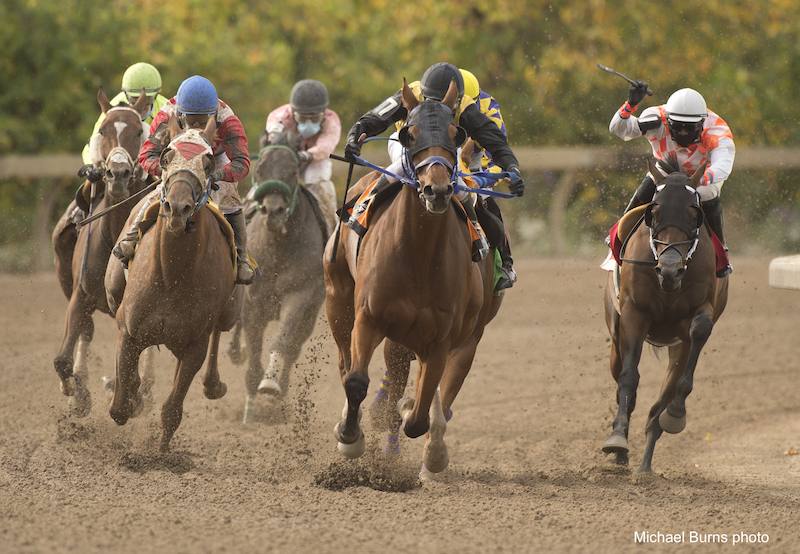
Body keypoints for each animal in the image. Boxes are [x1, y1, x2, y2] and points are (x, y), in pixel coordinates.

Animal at [52, 88, 152, 412]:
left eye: (138, 131)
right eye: (102, 130)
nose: (117, 173)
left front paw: (130, 394)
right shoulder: (80, 295)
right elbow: (62, 359)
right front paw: (77, 392)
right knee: (87, 332)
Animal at [104, 116, 241, 448]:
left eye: (208, 162)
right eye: (166, 157)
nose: (178, 208)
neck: (172, 273)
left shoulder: (193, 347)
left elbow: (172, 411)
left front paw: (162, 452)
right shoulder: (129, 329)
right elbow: (120, 405)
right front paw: (130, 395)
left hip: (228, 313)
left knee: (220, 330)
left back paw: (213, 384)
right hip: (113, 290)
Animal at [227, 136, 326, 420]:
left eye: (293, 172)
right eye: (260, 170)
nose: (274, 211)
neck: (278, 248)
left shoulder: (300, 294)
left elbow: (283, 340)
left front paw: (270, 383)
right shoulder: (253, 302)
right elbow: (253, 346)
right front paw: (249, 407)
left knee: (294, 347)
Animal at [324, 78, 500, 474]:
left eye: (454, 132)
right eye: (410, 133)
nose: (438, 189)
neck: (418, 255)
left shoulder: (441, 340)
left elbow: (419, 415)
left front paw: (415, 425)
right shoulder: (369, 317)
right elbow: (356, 381)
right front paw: (350, 438)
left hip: (458, 336)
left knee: (434, 396)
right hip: (338, 299)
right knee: (345, 364)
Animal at [604, 158, 728, 470]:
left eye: (694, 213)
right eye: (655, 212)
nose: (671, 268)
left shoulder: (699, 315)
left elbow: (698, 334)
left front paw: (675, 414)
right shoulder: (634, 313)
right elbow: (628, 378)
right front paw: (617, 439)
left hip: (675, 346)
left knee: (660, 402)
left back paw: (646, 463)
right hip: (616, 337)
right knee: (622, 380)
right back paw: (621, 450)